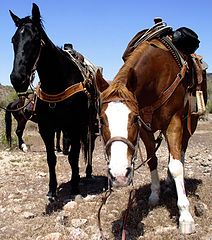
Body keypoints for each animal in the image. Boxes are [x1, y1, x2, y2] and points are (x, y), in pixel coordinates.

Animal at [9, 3, 99, 201]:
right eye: (13, 40)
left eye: (35, 39)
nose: (17, 78)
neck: (58, 82)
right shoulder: (47, 128)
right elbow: (51, 158)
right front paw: (52, 190)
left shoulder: (74, 126)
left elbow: (73, 157)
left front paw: (75, 187)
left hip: (88, 125)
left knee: (88, 146)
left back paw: (88, 172)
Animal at [95, 23, 207, 233]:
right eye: (102, 119)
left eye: (133, 118)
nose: (119, 175)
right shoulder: (146, 128)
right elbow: (152, 160)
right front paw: (154, 195)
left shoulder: (173, 122)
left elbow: (177, 166)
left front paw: (185, 217)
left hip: (190, 122)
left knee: (181, 151)